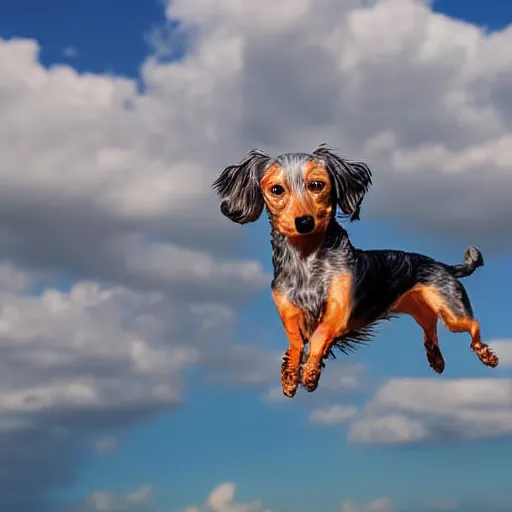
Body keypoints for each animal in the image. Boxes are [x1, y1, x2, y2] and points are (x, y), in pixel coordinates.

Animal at [212, 146, 500, 398]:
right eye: (276, 190)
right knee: (430, 328)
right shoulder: (289, 311)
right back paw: (435, 358)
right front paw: (291, 377)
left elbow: (318, 336)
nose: (304, 222)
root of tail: (441, 265)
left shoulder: (339, 311)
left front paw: (310, 375)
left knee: (473, 328)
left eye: (317, 185)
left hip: (454, 312)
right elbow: (295, 343)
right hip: (422, 309)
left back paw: (487, 355)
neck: (306, 261)